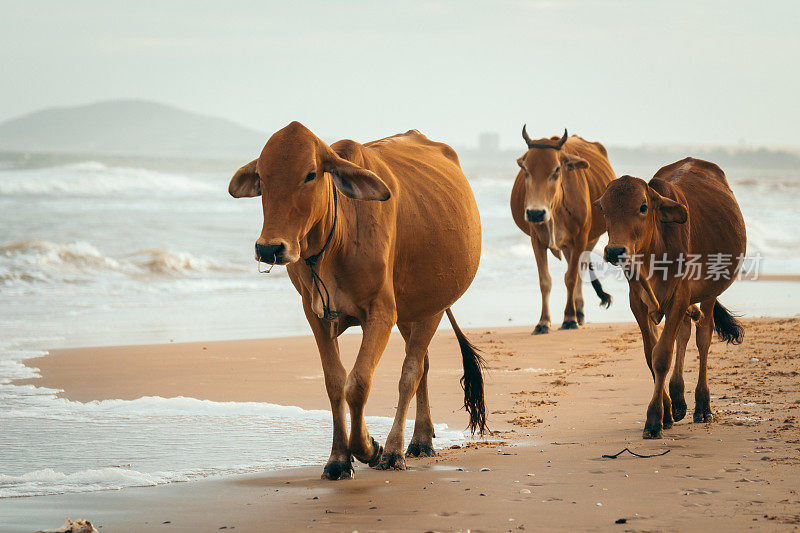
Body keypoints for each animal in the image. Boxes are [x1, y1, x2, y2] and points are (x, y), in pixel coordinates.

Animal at [228, 121, 484, 478]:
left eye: (310, 174)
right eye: (262, 178)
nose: (269, 248)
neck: (336, 240)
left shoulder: (381, 313)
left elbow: (359, 382)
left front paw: (370, 448)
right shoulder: (316, 315)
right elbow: (335, 383)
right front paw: (338, 458)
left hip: (432, 306)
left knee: (411, 371)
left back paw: (398, 449)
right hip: (410, 313)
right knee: (423, 366)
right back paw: (420, 437)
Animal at [510, 125, 616, 332]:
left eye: (556, 169)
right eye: (525, 169)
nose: (535, 213)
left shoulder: (581, 238)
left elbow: (571, 278)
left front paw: (569, 318)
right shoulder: (537, 240)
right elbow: (545, 281)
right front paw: (543, 321)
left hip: (589, 240)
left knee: (580, 269)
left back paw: (578, 313)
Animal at [596, 157, 748, 436]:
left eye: (643, 207)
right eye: (604, 209)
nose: (614, 251)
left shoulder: (680, 296)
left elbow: (662, 355)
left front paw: (654, 418)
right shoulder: (638, 302)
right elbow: (651, 354)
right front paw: (666, 412)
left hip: (709, 293)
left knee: (703, 337)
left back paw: (703, 406)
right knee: (684, 333)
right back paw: (677, 402)